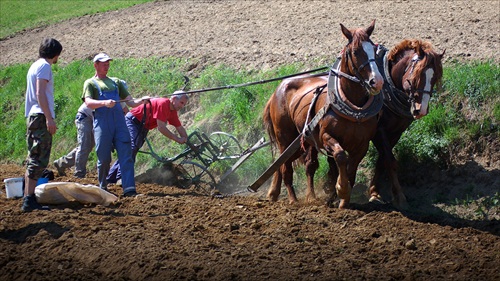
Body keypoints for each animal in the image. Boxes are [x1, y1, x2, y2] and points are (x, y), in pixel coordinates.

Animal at [264, 20, 384, 208]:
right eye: (355, 51)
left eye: (373, 49)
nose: (376, 81)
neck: (354, 109)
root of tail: (278, 89)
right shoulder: (327, 137)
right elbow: (340, 157)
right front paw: (341, 189)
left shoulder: (362, 145)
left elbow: (351, 169)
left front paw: (343, 200)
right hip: (285, 138)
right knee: (285, 167)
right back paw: (293, 199)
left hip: (301, 141)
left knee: (292, 163)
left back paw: (281, 194)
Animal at [368, 38, 446, 208]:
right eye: (417, 75)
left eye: (434, 78)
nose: (421, 110)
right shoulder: (379, 130)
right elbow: (389, 160)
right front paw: (399, 197)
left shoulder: (397, 132)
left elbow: (382, 160)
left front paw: (375, 191)